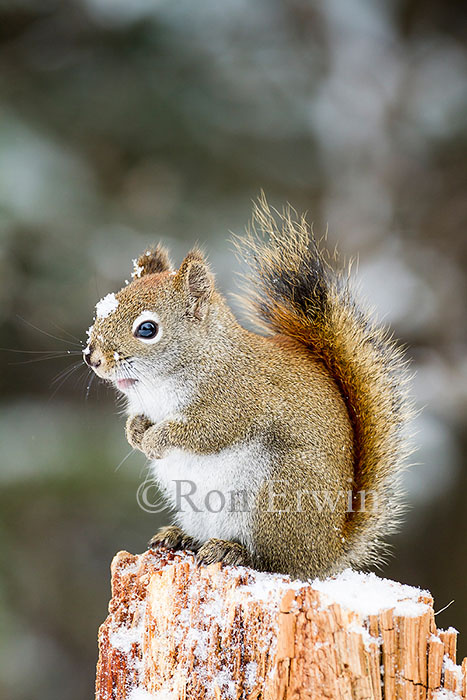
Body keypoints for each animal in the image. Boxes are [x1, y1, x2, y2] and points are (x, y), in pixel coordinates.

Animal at [84, 197, 413, 580]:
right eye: (102, 312)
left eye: (147, 329)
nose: (92, 357)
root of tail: (329, 553)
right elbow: (138, 421)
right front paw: (135, 433)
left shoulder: (238, 402)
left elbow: (203, 432)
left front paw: (155, 440)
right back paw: (180, 537)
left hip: (280, 497)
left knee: (276, 562)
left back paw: (233, 550)